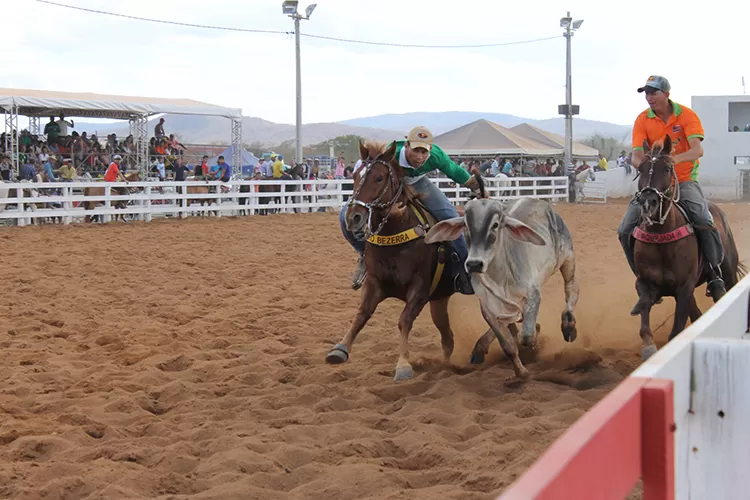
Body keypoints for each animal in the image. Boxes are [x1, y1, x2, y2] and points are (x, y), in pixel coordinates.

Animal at [328, 139, 462, 380]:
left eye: (379, 178)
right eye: (355, 176)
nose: (354, 217)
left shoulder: (420, 288)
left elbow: (404, 320)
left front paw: (403, 365)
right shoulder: (374, 283)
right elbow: (361, 314)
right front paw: (340, 349)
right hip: (439, 301)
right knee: (448, 338)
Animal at [428, 196, 580, 382]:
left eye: (495, 225)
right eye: (465, 225)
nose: (474, 264)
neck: (500, 277)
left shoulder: (533, 294)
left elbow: (526, 336)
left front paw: (534, 343)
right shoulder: (487, 308)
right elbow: (508, 344)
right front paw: (521, 373)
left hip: (568, 258)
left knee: (571, 290)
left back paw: (569, 326)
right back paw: (480, 349)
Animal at [636, 134, 748, 360]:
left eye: (667, 169)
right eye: (640, 168)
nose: (648, 203)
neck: (661, 239)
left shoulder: (684, 287)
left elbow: (676, 331)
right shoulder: (645, 282)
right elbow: (644, 307)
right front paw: (648, 346)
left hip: (728, 272)